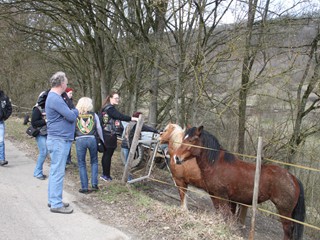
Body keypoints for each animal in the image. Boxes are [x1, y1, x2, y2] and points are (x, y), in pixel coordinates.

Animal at [174, 125, 306, 240]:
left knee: (288, 230)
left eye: (191, 140)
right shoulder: (215, 196)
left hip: (284, 211)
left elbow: (226, 216)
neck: (216, 165)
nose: (176, 158)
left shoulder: (222, 197)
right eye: (184, 138)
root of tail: (292, 177)